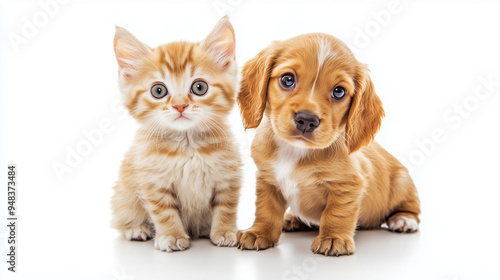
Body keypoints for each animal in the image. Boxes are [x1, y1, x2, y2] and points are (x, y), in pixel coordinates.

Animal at [110, 17, 242, 252]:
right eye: (158, 91)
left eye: (199, 87)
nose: (180, 105)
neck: (187, 145)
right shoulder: (153, 180)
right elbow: (163, 211)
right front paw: (171, 235)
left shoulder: (229, 175)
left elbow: (226, 206)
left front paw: (225, 232)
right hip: (124, 195)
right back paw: (137, 229)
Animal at [236, 33, 420, 256]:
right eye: (287, 79)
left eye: (339, 92)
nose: (306, 120)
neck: (296, 150)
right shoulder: (267, 180)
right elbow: (266, 210)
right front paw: (259, 232)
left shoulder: (348, 185)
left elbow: (336, 213)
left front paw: (333, 238)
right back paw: (293, 219)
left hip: (402, 182)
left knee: (411, 206)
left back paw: (404, 219)